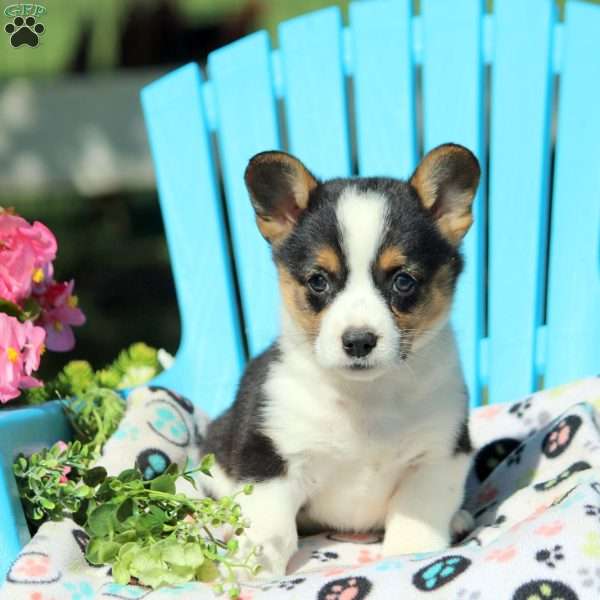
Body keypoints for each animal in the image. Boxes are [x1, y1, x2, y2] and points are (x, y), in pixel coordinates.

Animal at [204, 143, 480, 580]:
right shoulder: (271, 457)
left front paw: (413, 558)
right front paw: (254, 565)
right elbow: (270, 526)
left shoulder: (437, 455)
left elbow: (415, 519)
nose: (358, 341)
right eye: (318, 280)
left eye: (403, 281)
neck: (365, 398)